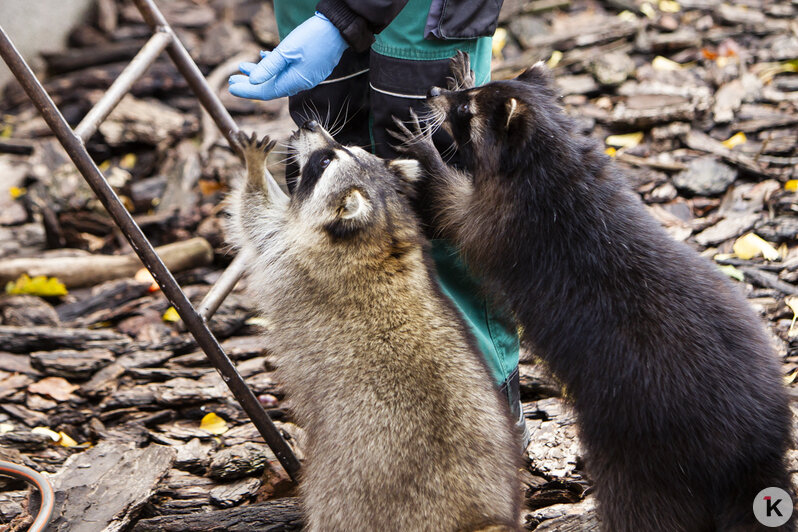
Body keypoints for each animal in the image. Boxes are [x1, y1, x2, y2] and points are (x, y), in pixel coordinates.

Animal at [227, 125, 524, 532]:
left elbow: (256, 217)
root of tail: (474, 513)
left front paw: (254, 168)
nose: (309, 127)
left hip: (347, 487)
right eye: (343, 146)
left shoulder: (293, 252)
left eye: (325, 161)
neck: (382, 229)